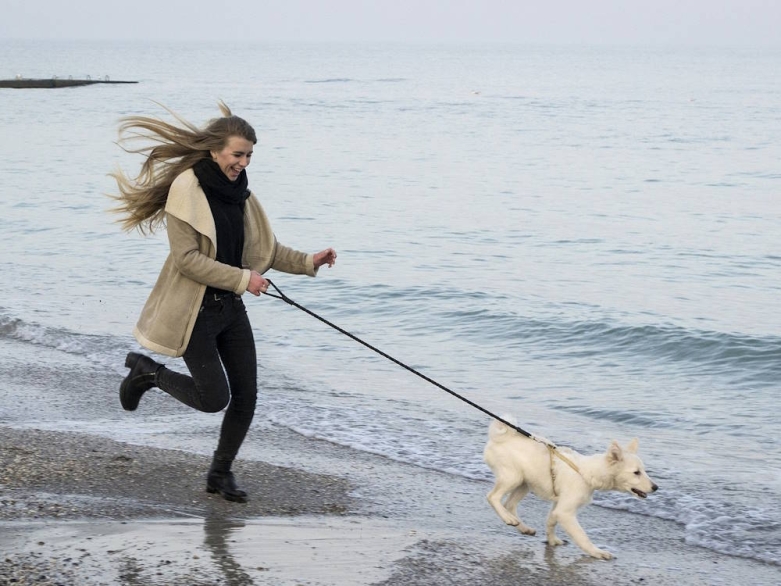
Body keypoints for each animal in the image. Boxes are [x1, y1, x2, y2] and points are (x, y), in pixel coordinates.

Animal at [482, 416, 660, 556]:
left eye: (644, 471)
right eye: (636, 472)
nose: (656, 487)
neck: (587, 472)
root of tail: (500, 437)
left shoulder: (558, 506)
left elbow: (550, 522)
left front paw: (552, 541)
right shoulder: (565, 512)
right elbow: (582, 536)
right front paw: (597, 552)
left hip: (525, 483)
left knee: (509, 504)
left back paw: (522, 526)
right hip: (513, 478)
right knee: (493, 497)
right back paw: (508, 518)